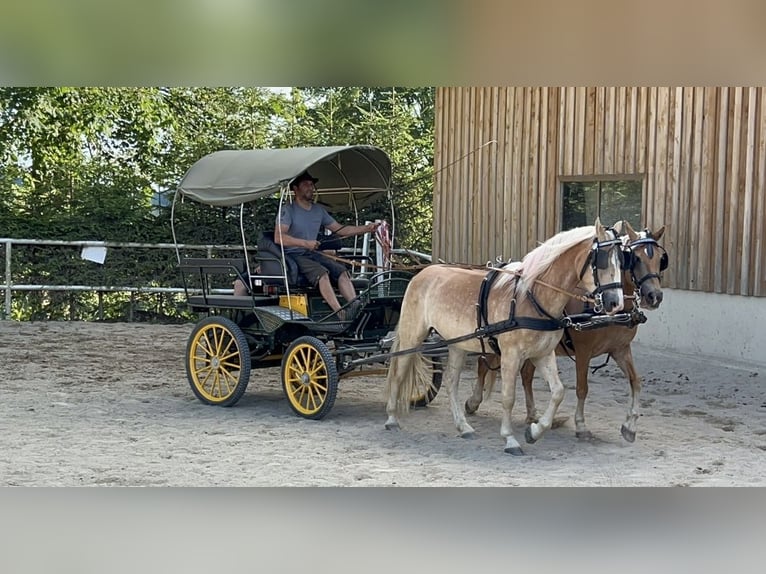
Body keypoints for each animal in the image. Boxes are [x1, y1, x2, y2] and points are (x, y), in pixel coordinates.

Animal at [388, 218, 628, 456]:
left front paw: (534, 431)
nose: (616, 303)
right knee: (399, 373)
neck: (531, 297)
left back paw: (463, 427)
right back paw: (391, 419)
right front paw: (510, 439)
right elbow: (508, 397)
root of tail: (421, 273)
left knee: (450, 381)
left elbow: (558, 392)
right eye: (603, 259)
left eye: (622, 259)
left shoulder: (543, 354)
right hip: (412, 335)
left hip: (458, 344)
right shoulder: (511, 356)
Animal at [468, 223, 664, 444]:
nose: (654, 296)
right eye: (635, 258)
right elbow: (582, 388)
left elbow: (636, 382)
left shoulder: (620, 349)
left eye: (660, 259)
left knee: (526, 376)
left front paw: (630, 426)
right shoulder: (583, 351)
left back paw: (532, 415)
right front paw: (581, 425)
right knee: (482, 365)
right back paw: (473, 402)